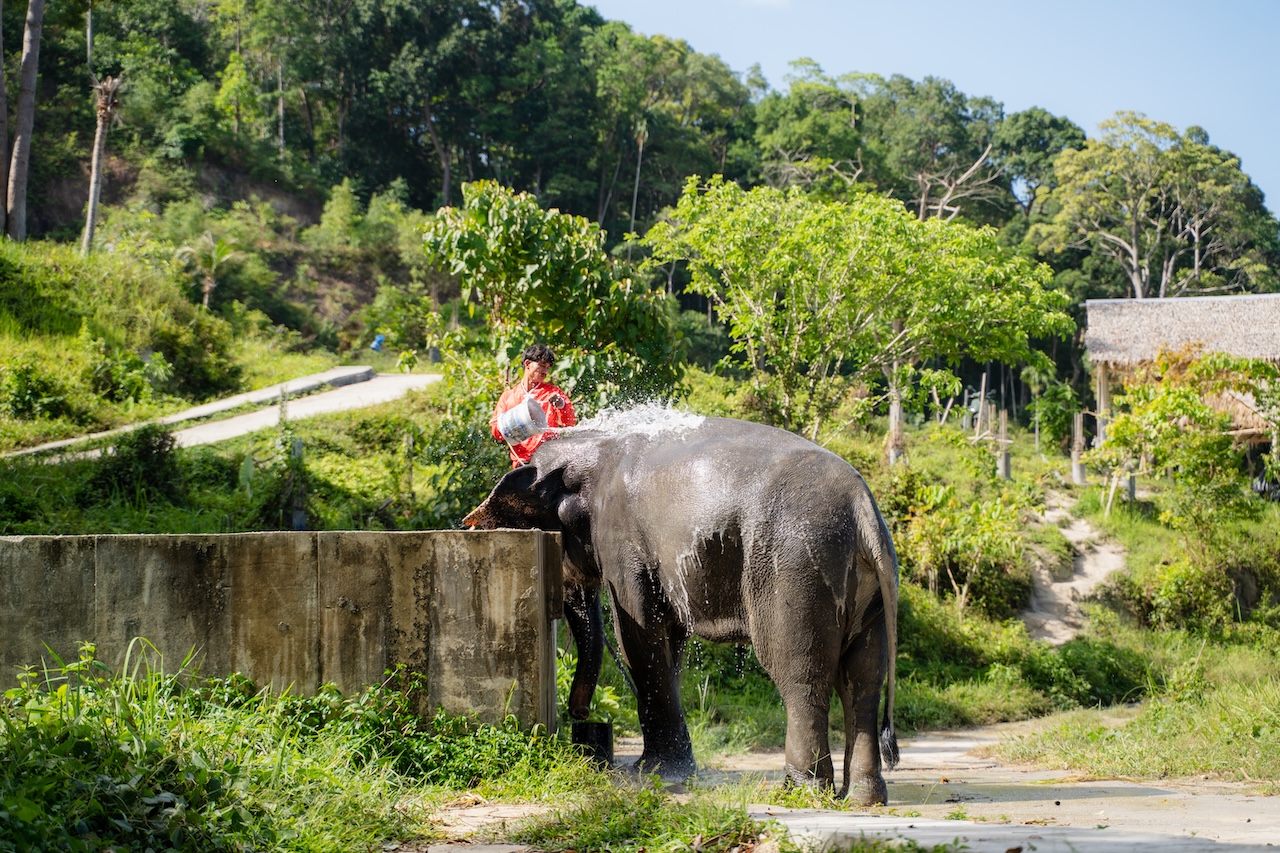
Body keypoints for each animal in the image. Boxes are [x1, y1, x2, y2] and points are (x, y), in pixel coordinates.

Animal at [462, 414, 900, 804]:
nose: (582, 718)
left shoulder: (622, 541)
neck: (591, 447)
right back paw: (863, 798)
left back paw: (799, 791)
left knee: (801, 675)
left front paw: (652, 771)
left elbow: (639, 636)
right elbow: (668, 640)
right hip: (869, 591)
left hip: (795, 571)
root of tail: (862, 507)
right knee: (863, 679)